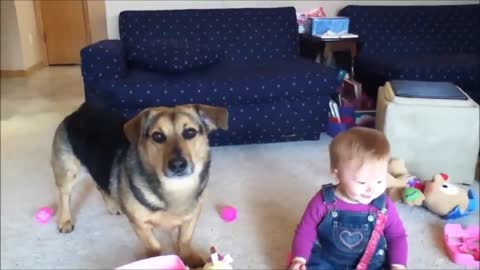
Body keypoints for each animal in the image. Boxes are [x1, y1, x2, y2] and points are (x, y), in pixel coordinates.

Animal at [51, 102, 228, 266]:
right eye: (158, 136)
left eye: (190, 133)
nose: (177, 164)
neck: (175, 188)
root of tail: (81, 110)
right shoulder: (140, 224)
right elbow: (154, 246)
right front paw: (153, 260)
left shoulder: (192, 217)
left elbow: (184, 240)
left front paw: (190, 258)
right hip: (67, 171)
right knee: (64, 195)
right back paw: (65, 221)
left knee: (100, 185)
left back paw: (113, 205)